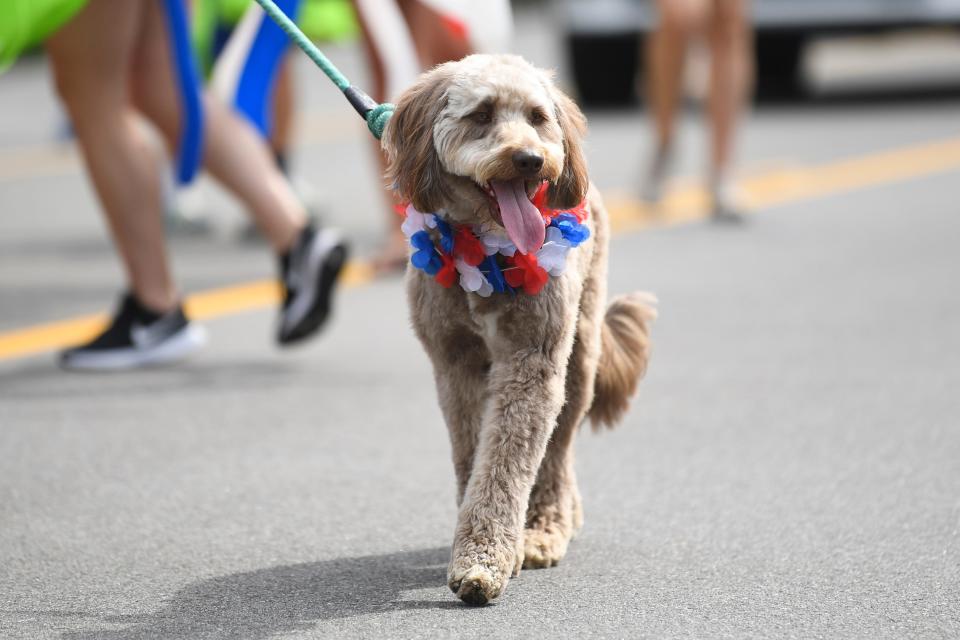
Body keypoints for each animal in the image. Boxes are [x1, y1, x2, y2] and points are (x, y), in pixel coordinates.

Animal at [378, 53, 656, 604]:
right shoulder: (455, 364)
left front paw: (486, 560)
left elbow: (508, 460)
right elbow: (473, 454)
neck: (488, 243)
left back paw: (546, 528)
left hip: (579, 356)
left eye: (536, 116)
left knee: (558, 452)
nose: (529, 159)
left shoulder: (533, 363)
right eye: (482, 115)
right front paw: (479, 542)